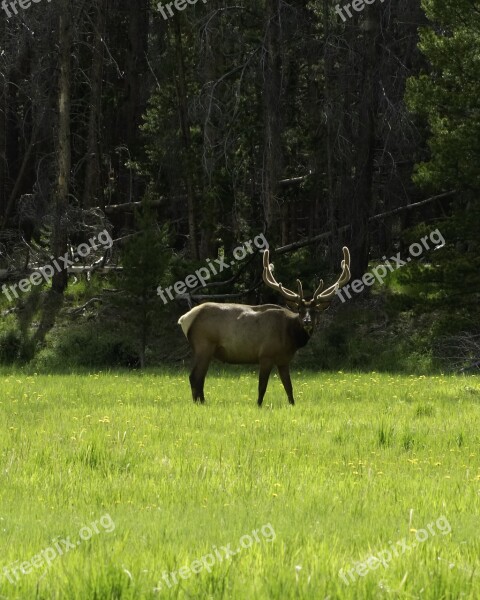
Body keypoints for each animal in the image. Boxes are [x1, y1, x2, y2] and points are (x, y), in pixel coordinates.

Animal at [178, 246, 350, 406]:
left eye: (315, 311)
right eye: (300, 310)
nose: (307, 322)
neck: (290, 336)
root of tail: (185, 318)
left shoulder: (284, 360)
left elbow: (289, 387)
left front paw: (292, 404)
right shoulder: (266, 354)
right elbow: (262, 386)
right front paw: (259, 405)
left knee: (198, 377)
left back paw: (200, 402)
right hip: (204, 345)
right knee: (195, 377)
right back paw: (200, 403)